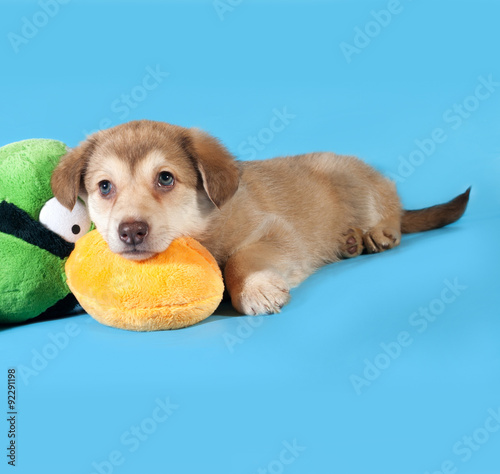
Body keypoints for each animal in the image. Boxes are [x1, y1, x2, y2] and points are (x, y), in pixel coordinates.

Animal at [52, 120, 470, 316]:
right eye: (105, 187)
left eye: (165, 178)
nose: (131, 231)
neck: (202, 226)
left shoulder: (275, 232)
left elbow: (241, 259)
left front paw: (255, 289)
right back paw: (351, 241)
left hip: (355, 182)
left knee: (391, 209)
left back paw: (377, 233)